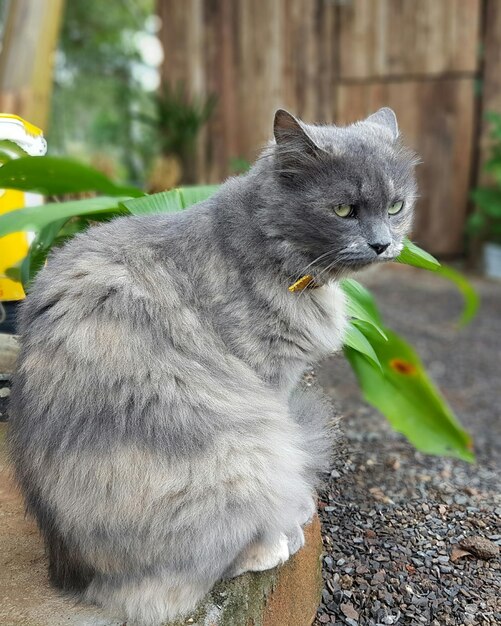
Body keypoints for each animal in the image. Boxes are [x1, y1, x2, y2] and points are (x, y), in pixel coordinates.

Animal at [7, 108, 416, 624]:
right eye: (344, 210)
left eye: (396, 206)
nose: (383, 243)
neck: (266, 247)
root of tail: (77, 576)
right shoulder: (269, 377)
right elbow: (292, 453)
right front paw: (297, 507)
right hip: (239, 453)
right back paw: (275, 540)